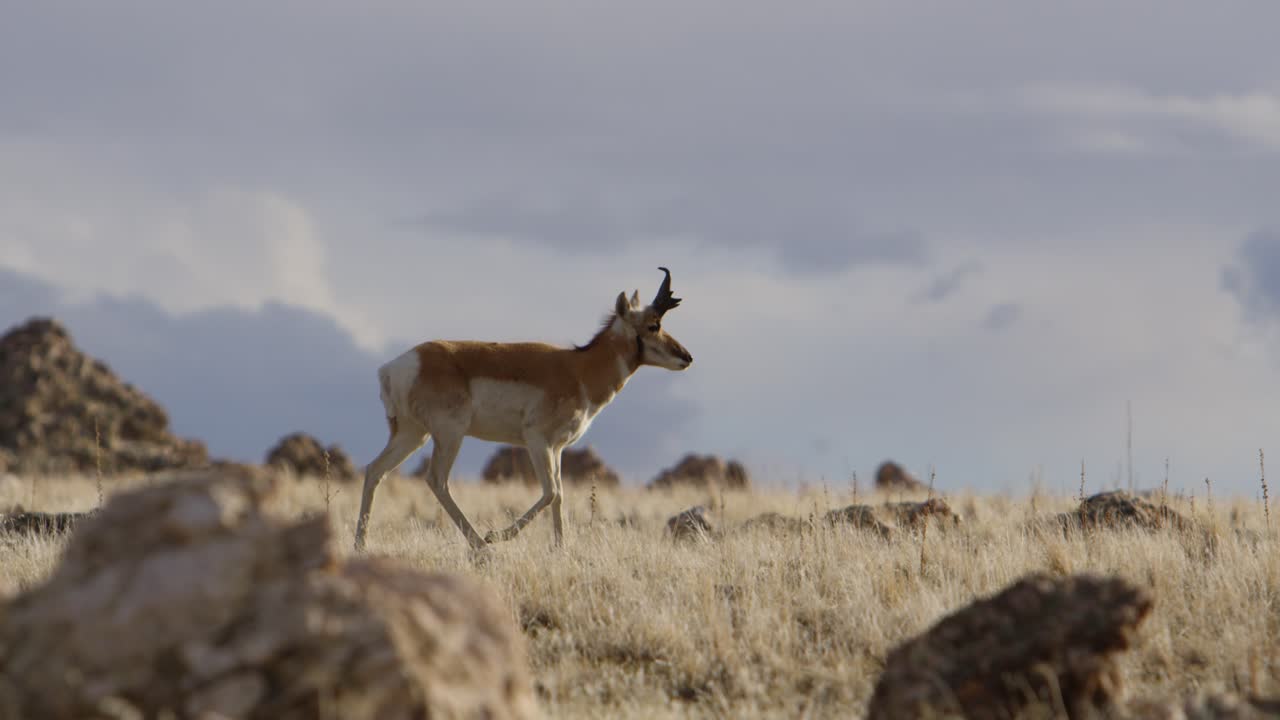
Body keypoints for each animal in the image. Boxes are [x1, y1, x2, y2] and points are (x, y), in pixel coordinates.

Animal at [353, 267, 693, 551]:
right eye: (654, 324)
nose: (687, 357)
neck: (579, 368)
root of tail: (397, 366)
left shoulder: (557, 448)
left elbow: (560, 495)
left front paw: (561, 549)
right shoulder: (536, 440)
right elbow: (551, 492)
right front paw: (497, 535)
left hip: (413, 434)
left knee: (375, 470)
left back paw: (360, 545)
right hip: (449, 435)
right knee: (437, 480)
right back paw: (481, 546)